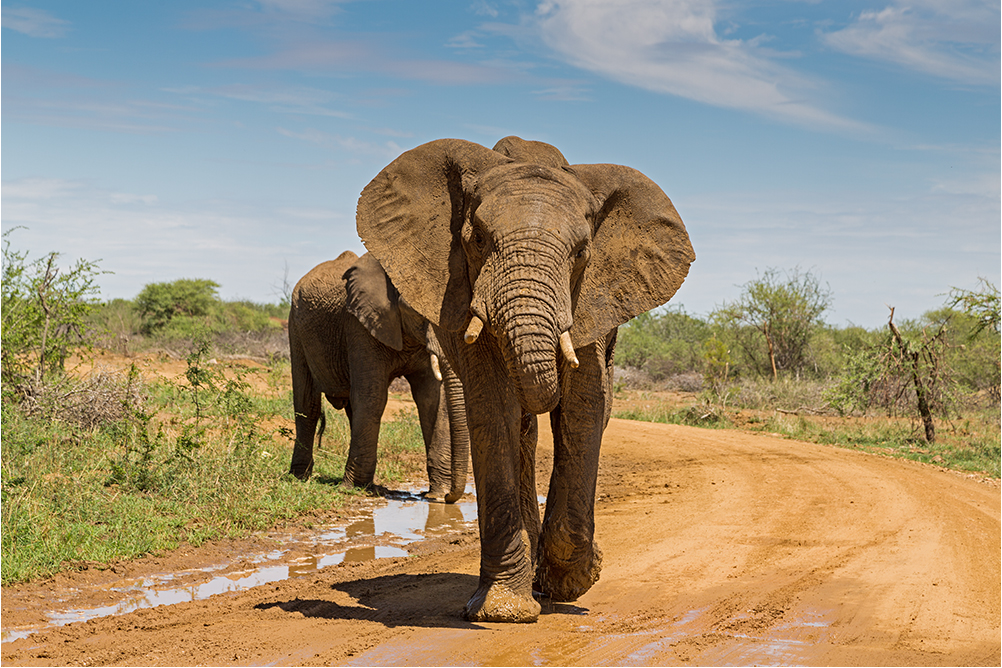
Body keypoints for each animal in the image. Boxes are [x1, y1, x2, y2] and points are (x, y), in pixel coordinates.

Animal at [288, 250, 470, 500]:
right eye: (419, 312)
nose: (449, 497)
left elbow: (432, 400)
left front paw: (436, 495)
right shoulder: (359, 325)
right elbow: (371, 396)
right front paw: (352, 489)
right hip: (295, 326)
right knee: (307, 403)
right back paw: (299, 477)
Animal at [356, 136, 693, 620]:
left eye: (582, 252)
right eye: (477, 240)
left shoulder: (590, 299)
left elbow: (583, 407)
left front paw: (575, 581)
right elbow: (494, 407)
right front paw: (502, 611)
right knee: (522, 429)